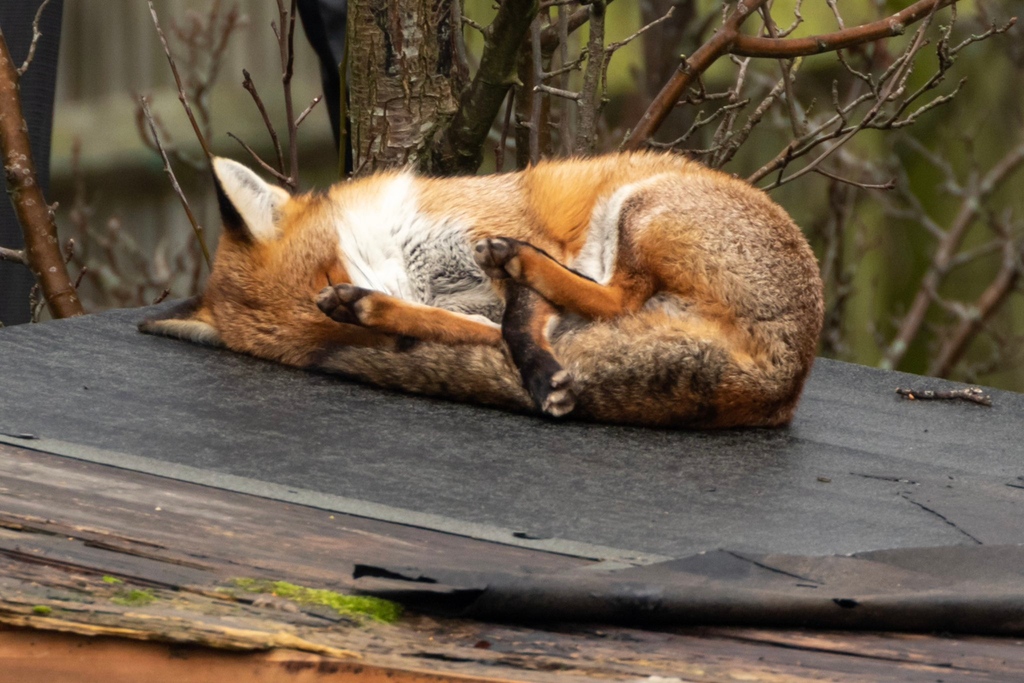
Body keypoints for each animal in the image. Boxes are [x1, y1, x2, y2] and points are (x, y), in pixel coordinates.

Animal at [140, 151, 823, 428]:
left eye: (329, 272)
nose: (344, 295)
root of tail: (783, 383)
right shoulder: (472, 312)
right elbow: (491, 332)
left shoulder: (509, 228)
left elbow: (517, 320)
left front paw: (540, 371)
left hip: (638, 208)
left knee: (614, 293)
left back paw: (514, 263)